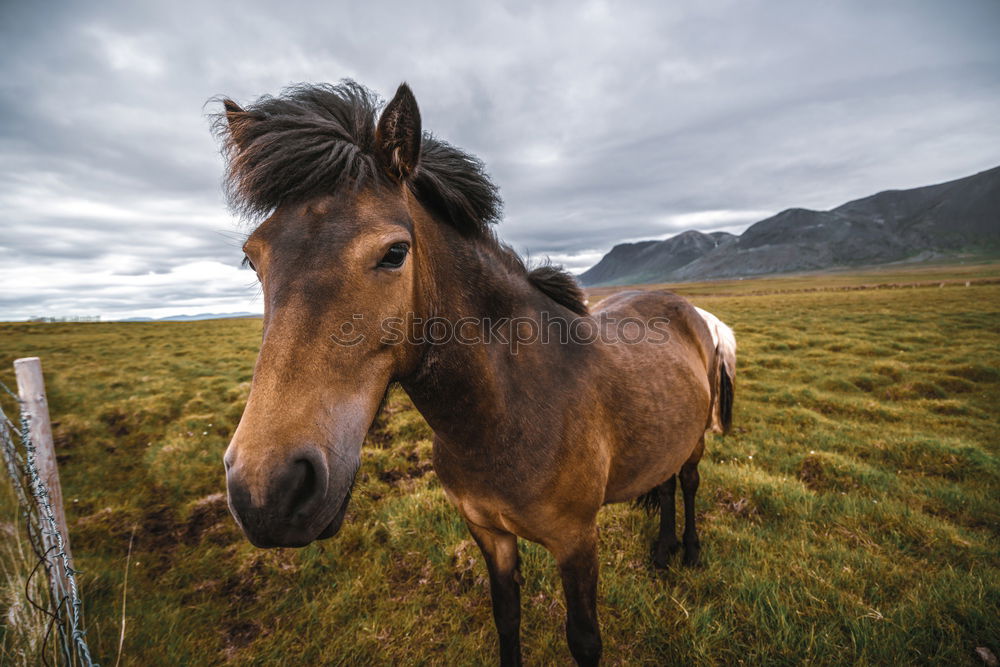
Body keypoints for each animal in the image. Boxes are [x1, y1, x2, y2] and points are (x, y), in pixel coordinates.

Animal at [217, 81, 736, 664]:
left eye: (395, 252)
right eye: (253, 259)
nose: (268, 491)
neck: (507, 410)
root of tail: (690, 310)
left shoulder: (577, 541)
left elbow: (584, 640)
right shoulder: (488, 532)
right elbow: (506, 617)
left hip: (695, 441)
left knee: (687, 484)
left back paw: (689, 551)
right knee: (664, 487)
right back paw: (664, 551)